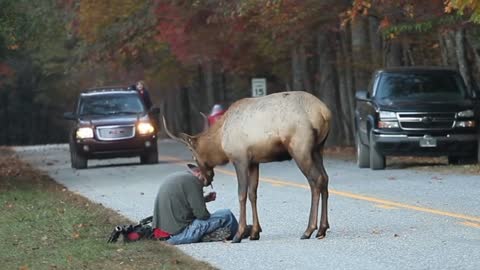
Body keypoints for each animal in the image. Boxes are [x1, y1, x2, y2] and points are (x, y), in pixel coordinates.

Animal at [163, 90, 332, 243]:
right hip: (318, 149)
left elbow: (242, 194)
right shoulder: (254, 162)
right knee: (325, 178)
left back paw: (309, 230)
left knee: (315, 180)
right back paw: (322, 228)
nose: (205, 179)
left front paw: (239, 234)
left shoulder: (240, 159)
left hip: (300, 149)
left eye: (194, 156)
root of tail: (324, 112)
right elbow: (252, 194)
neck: (220, 141)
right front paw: (255, 233)